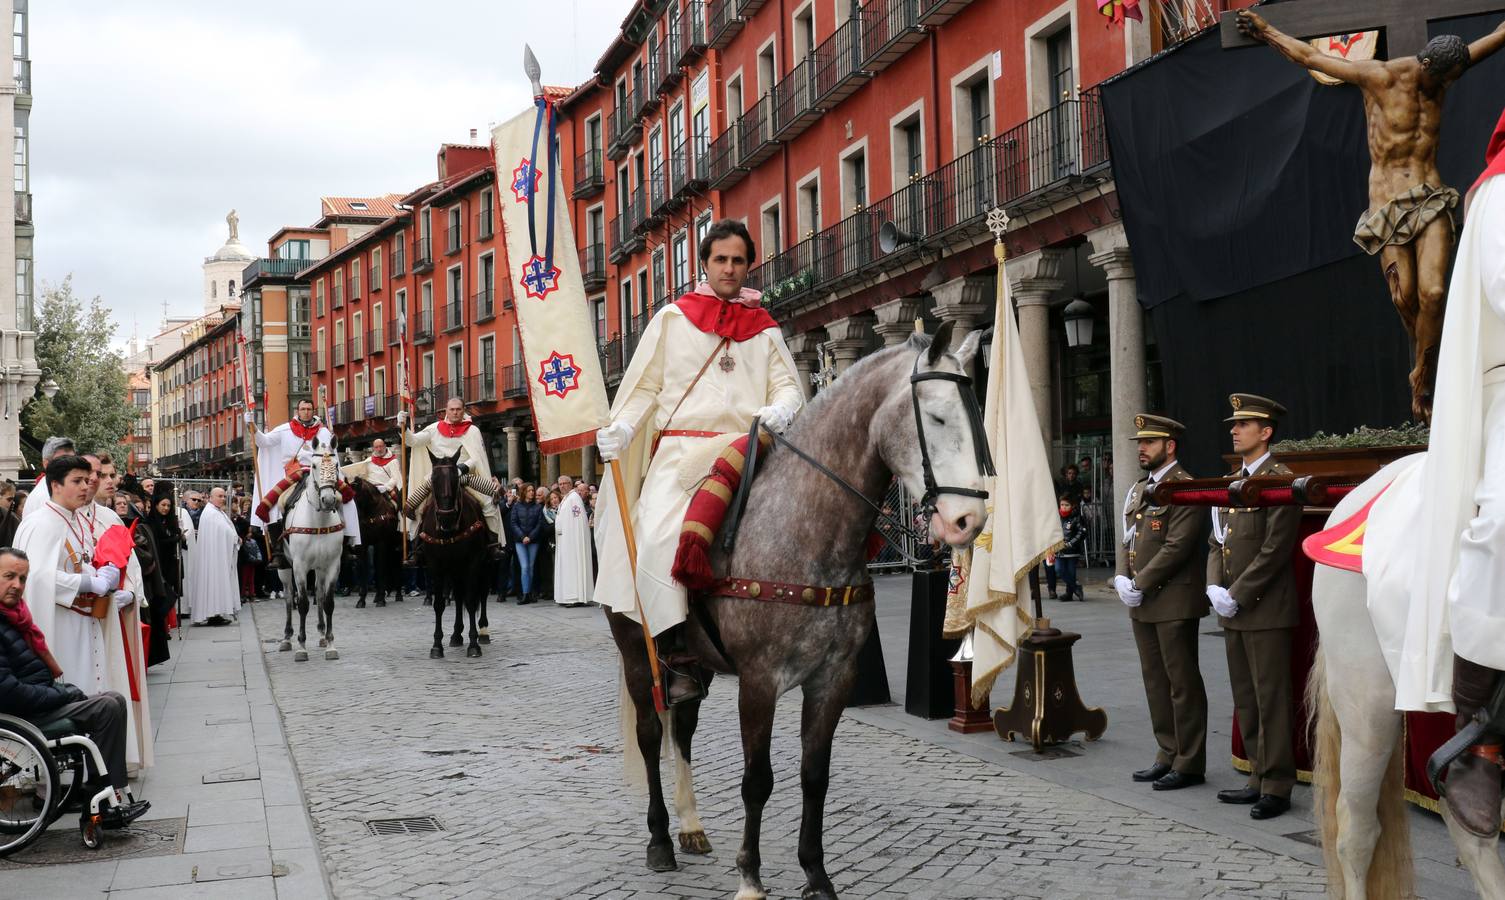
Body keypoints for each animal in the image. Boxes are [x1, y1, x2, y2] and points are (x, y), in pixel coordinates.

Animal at [279, 439, 344, 662]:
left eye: (336, 465)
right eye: (314, 466)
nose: (328, 500)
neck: (318, 521)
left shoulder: (332, 565)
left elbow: (329, 602)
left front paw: (331, 644)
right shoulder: (299, 566)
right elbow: (302, 603)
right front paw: (301, 647)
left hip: (320, 568)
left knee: (319, 593)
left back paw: (322, 634)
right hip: (284, 568)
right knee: (289, 597)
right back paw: (287, 638)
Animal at [415, 454, 490, 659]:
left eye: (456, 478)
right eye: (433, 479)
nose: (446, 516)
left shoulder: (473, 563)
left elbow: (471, 601)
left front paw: (474, 644)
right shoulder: (436, 566)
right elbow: (439, 604)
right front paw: (436, 646)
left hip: (485, 565)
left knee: (482, 594)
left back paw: (483, 632)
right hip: (455, 569)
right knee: (458, 596)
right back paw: (456, 634)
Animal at [605, 325, 993, 900]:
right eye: (939, 417)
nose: (969, 519)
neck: (807, 528)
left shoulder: (833, 678)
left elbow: (815, 775)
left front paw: (816, 874)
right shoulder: (759, 680)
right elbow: (757, 780)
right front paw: (750, 877)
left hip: (694, 665)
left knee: (684, 729)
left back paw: (691, 826)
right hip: (636, 653)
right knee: (652, 735)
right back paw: (660, 840)